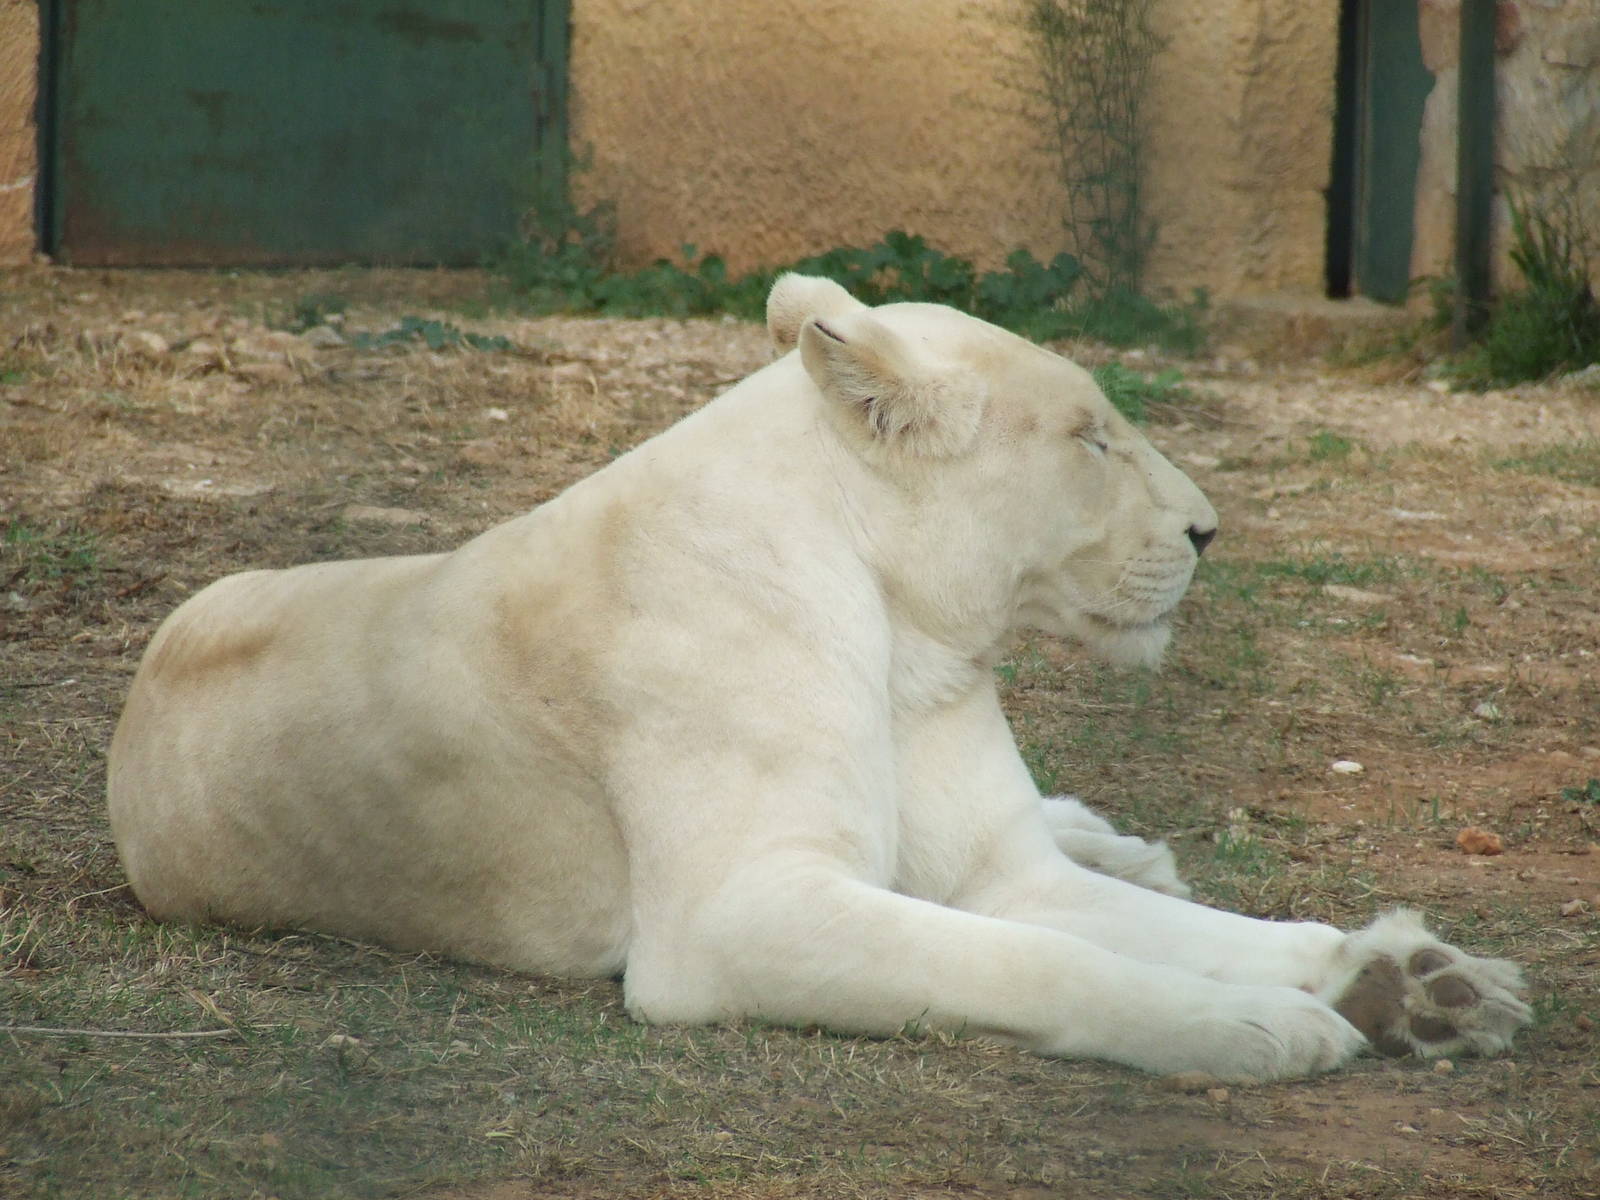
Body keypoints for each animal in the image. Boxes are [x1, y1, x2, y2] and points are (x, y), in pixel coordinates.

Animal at [107, 275, 1530, 1081]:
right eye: (1089, 437)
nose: (1207, 531)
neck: (914, 648)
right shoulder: (732, 917)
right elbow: (1034, 964)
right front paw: (1264, 1030)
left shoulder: (1000, 867)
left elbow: (1220, 930)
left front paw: (1416, 985)